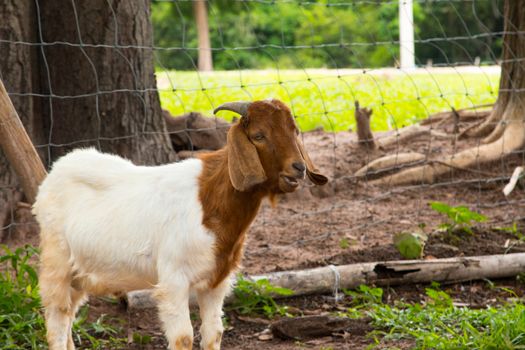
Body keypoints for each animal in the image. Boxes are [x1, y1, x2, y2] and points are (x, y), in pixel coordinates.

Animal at [31, 98, 328, 350]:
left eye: (295, 131)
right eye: (258, 136)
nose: (298, 168)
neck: (210, 202)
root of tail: (55, 172)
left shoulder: (216, 281)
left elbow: (213, 334)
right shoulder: (173, 278)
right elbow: (183, 337)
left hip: (81, 273)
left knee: (69, 315)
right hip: (57, 261)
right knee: (57, 318)